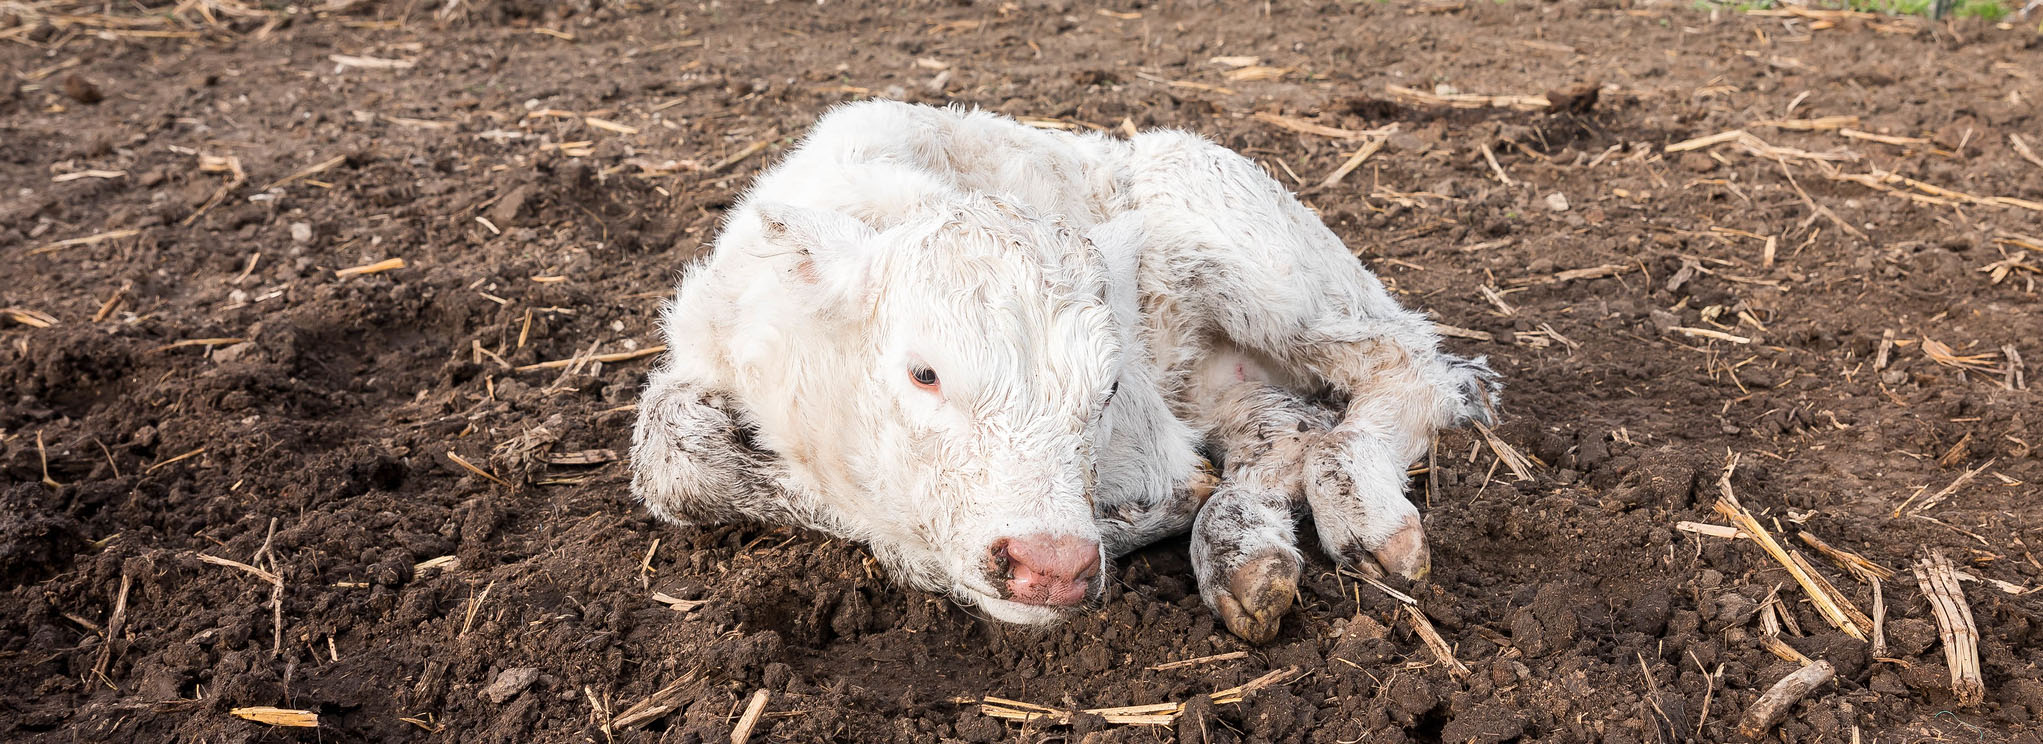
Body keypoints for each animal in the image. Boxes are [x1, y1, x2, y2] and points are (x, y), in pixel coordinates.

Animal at [629, 101, 1495, 641]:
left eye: (1105, 391)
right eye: (923, 374)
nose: (1051, 568)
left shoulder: (1151, 445)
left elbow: (1180, 484)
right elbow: (674, 459)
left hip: (1265, 264)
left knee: (1407, 365)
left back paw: (1363, 515)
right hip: (1220, 369)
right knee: (1286, 427)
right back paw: (1246, 554)